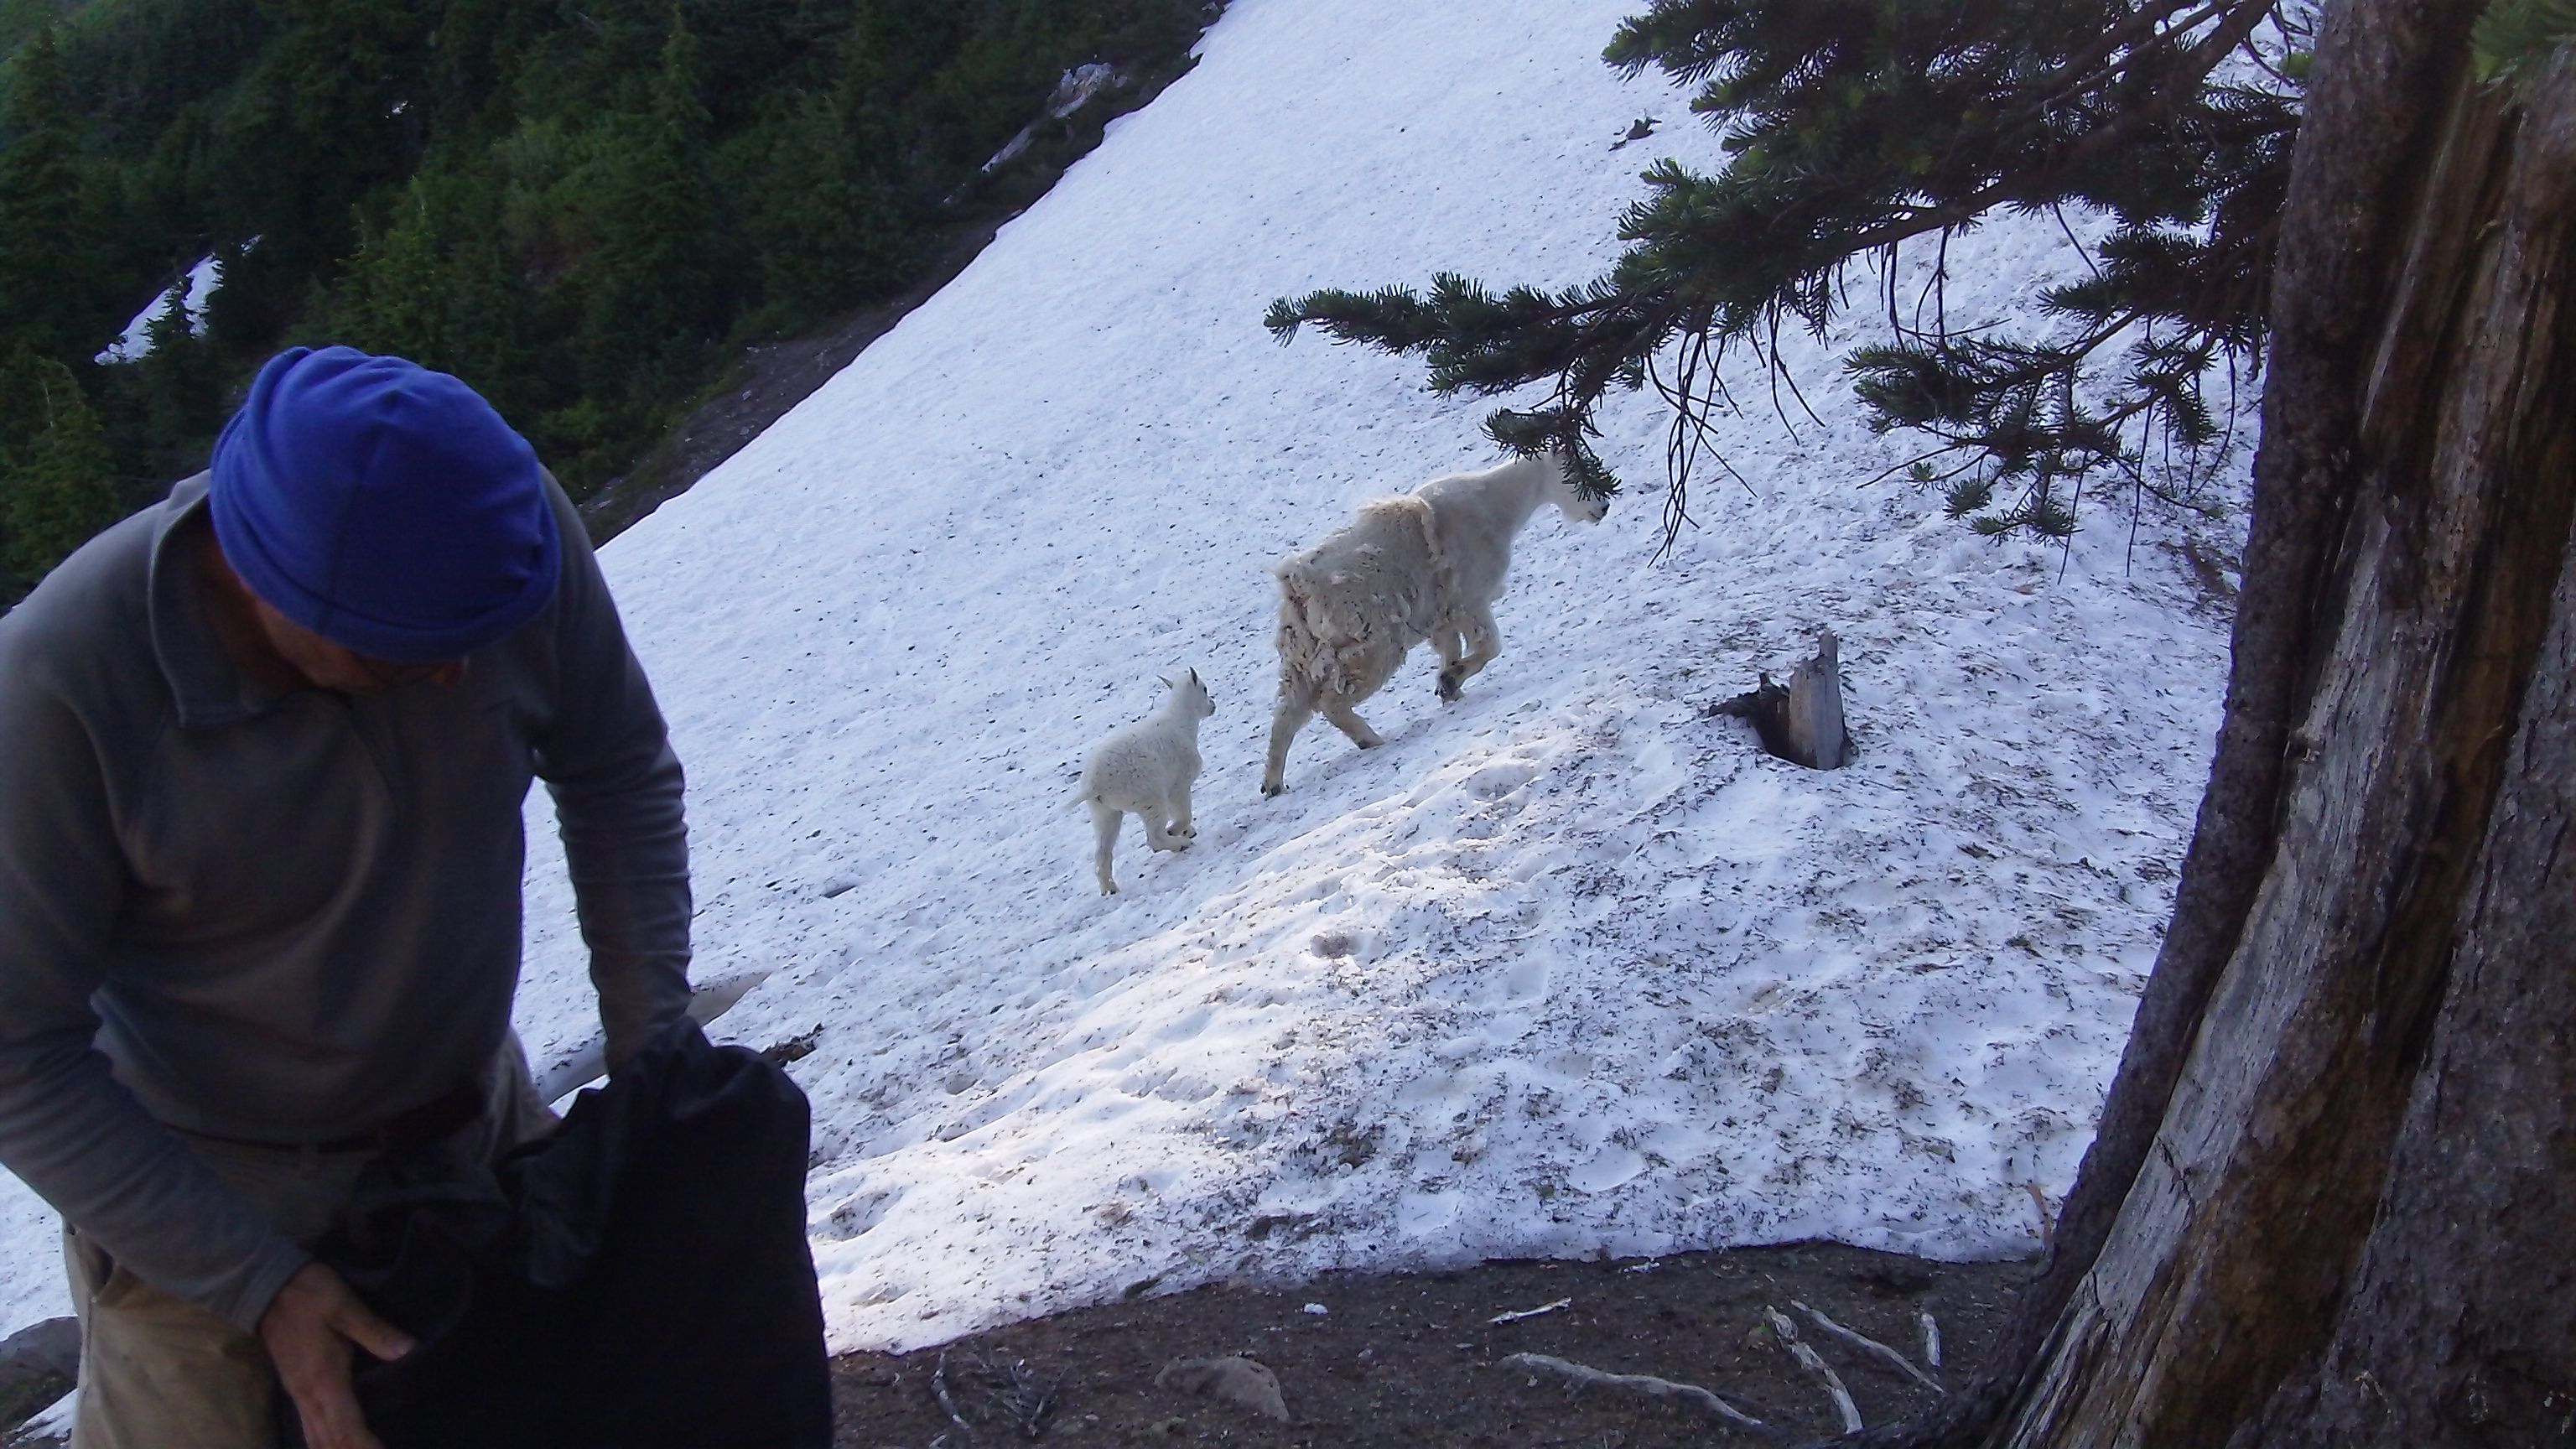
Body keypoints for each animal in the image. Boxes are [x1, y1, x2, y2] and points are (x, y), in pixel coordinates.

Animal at [1071, 669, 1217, 894]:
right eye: (1204, 688)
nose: (1213, 705)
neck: (1182, 723)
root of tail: (1093, 784)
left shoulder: (1170, 788)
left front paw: (1188, 831)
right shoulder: (1178, 786)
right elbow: (1184, 814)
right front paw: (1178, 831)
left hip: (1105, 813)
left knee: (1102, 852)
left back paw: (1109, 889)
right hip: (1150, 799)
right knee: (1154, 838)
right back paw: (1179, 844)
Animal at [1260, 449, 1606, 796]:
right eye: (1572, 469)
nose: (1602, 507)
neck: (1498, 503)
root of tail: (1297, 584)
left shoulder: (1442, 616)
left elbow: (1451, 650)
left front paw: (1448, 689)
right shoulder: (1471, 599)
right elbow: (1489, 645)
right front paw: (1451, 681)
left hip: (1301, 655)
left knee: (1287, 713)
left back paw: (1274, 783)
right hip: (1373, 647)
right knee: (1330, 701)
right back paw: (1369, 739)